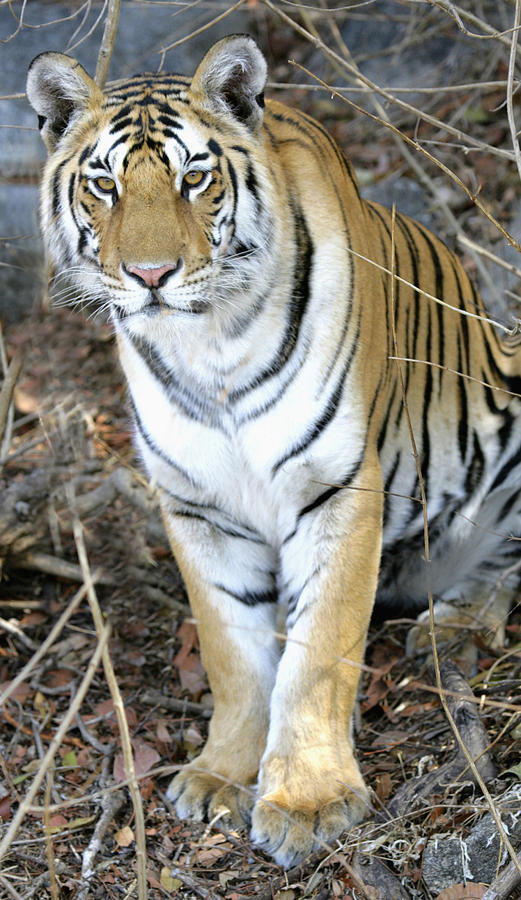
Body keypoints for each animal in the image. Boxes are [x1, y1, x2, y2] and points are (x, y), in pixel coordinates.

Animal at [26, 33, 520, 864]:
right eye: (104, 184)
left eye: (194, 177)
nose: (150, 276)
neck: (206, 345)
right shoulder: (197, 503)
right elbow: (233, 651)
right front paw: (223, 776)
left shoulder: (337, 487)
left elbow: (318, 653)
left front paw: (310, 801)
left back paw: (452, 623)